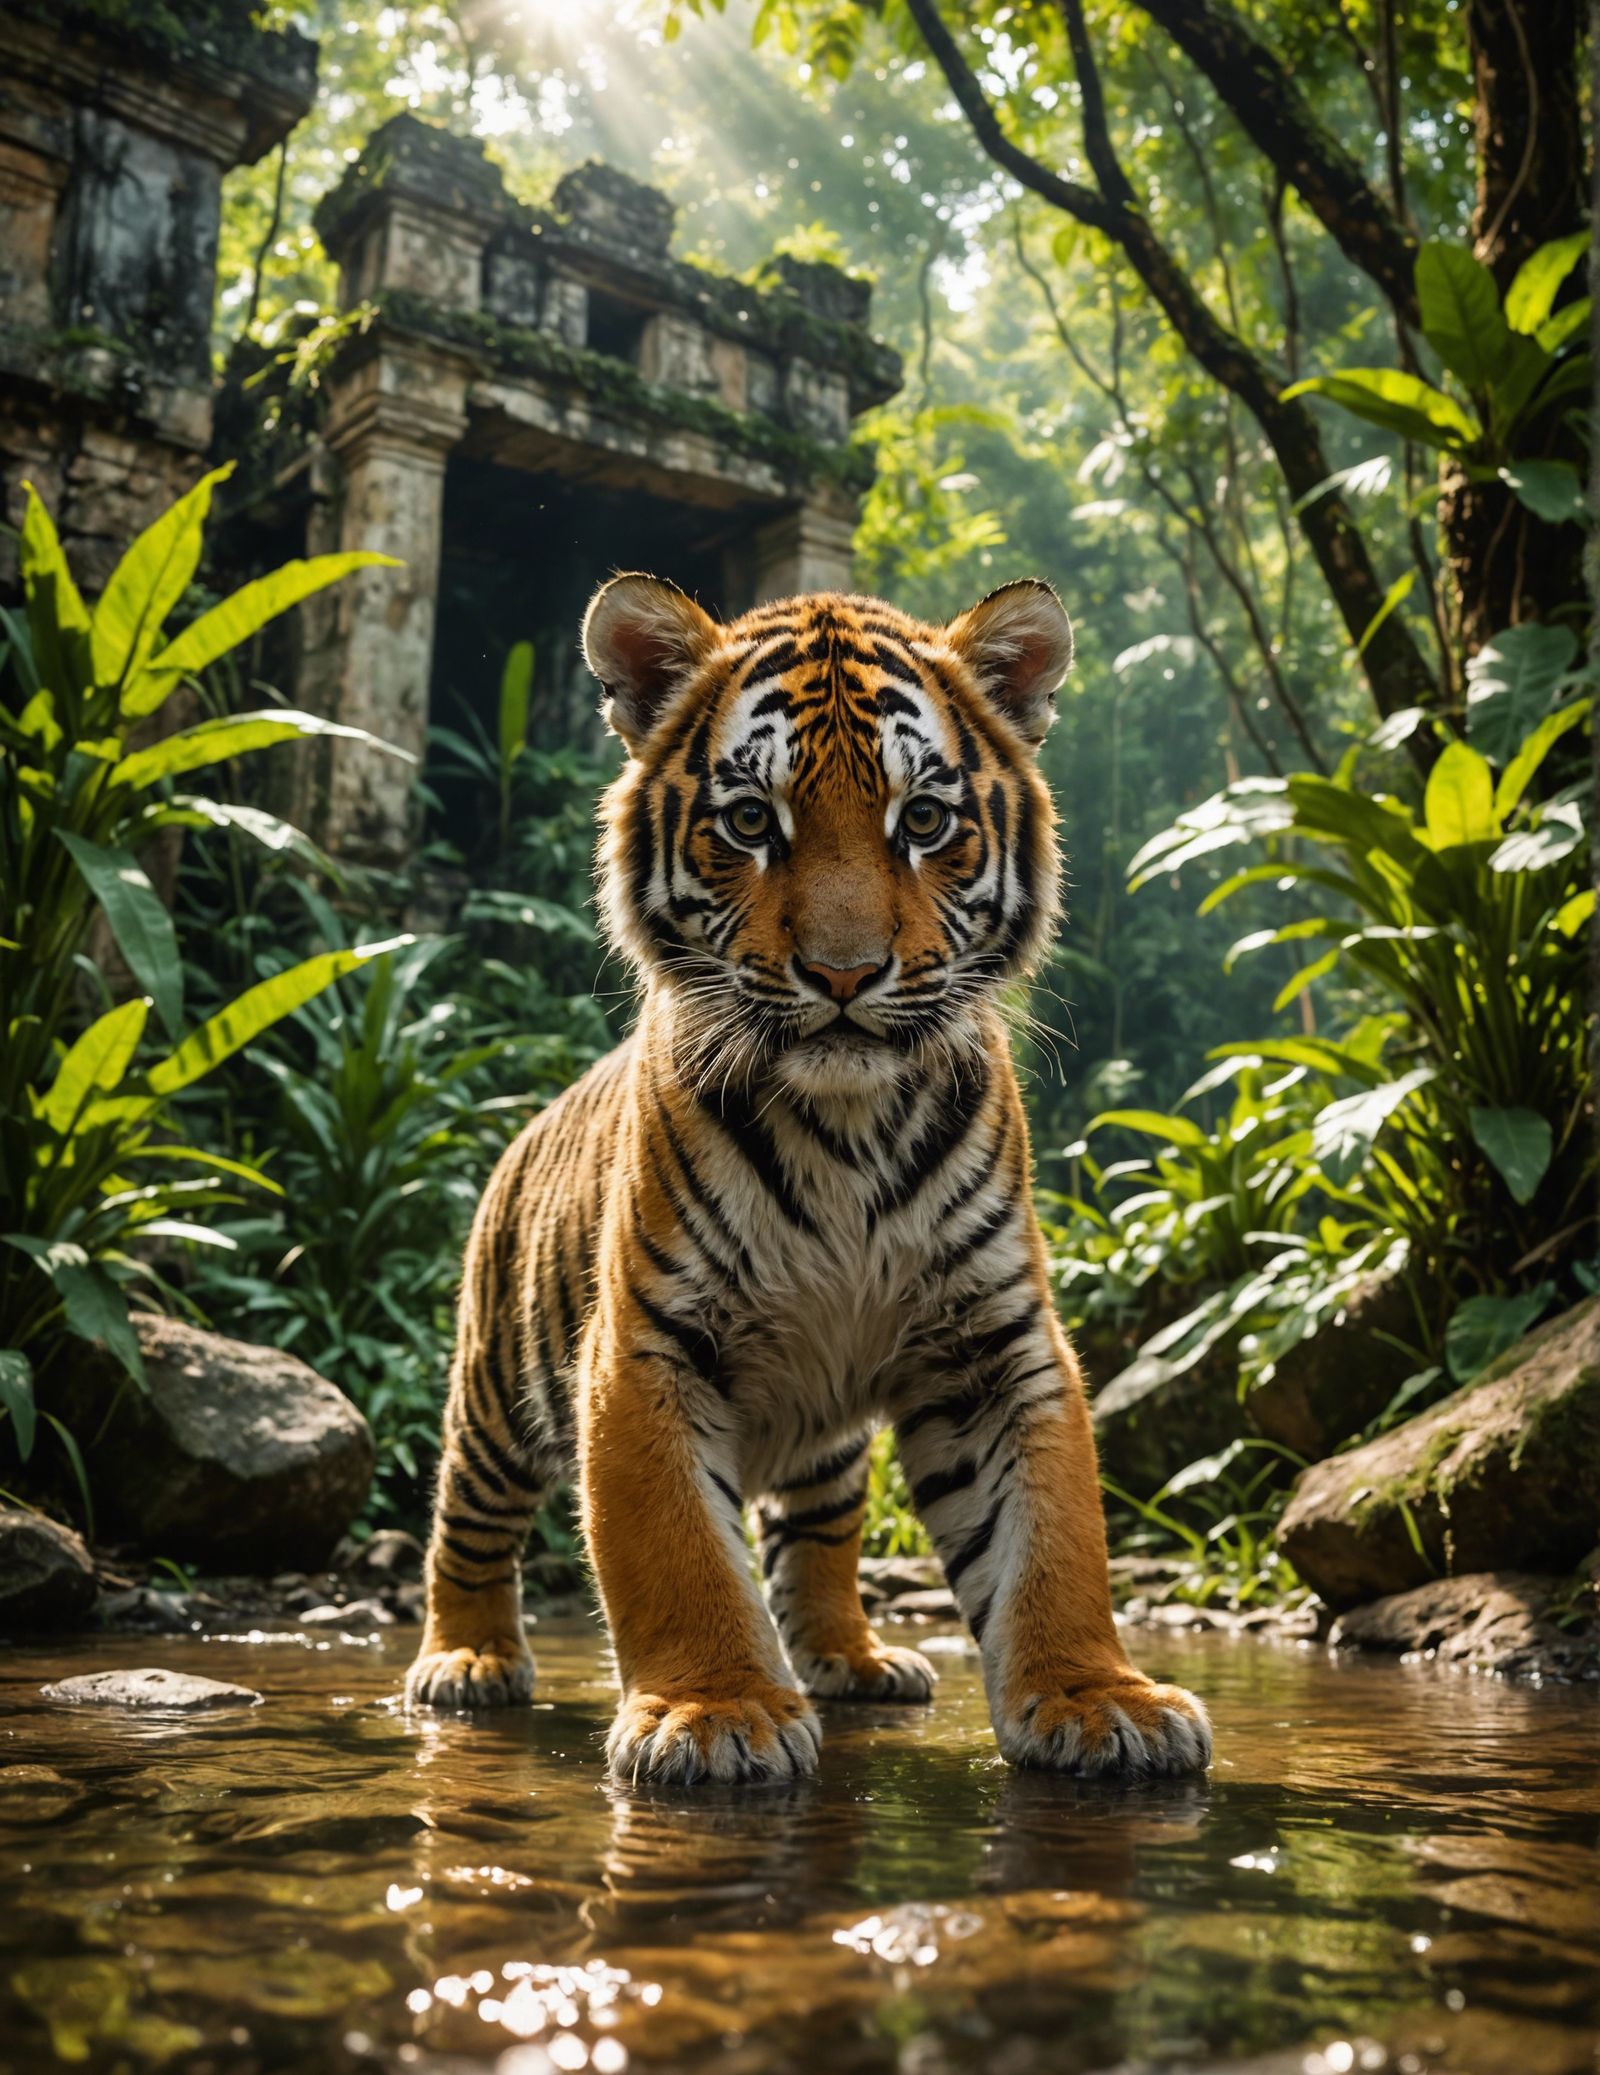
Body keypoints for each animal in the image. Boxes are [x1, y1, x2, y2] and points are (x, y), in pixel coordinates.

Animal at [405, 573, 1213, 1787]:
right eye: (751, 821)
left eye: (922, 822)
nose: (843, 974)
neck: (848, 1127)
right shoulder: (644, 1347)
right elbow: (677, 1548)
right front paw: (716, 1711)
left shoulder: (995, 1343)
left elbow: (1054, 1537)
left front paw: (1098, 1698)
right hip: (497, 1390)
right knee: (466, 1516)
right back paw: (464, 1659)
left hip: (825, 1442)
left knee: (818, 1542)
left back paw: (854, 1657)